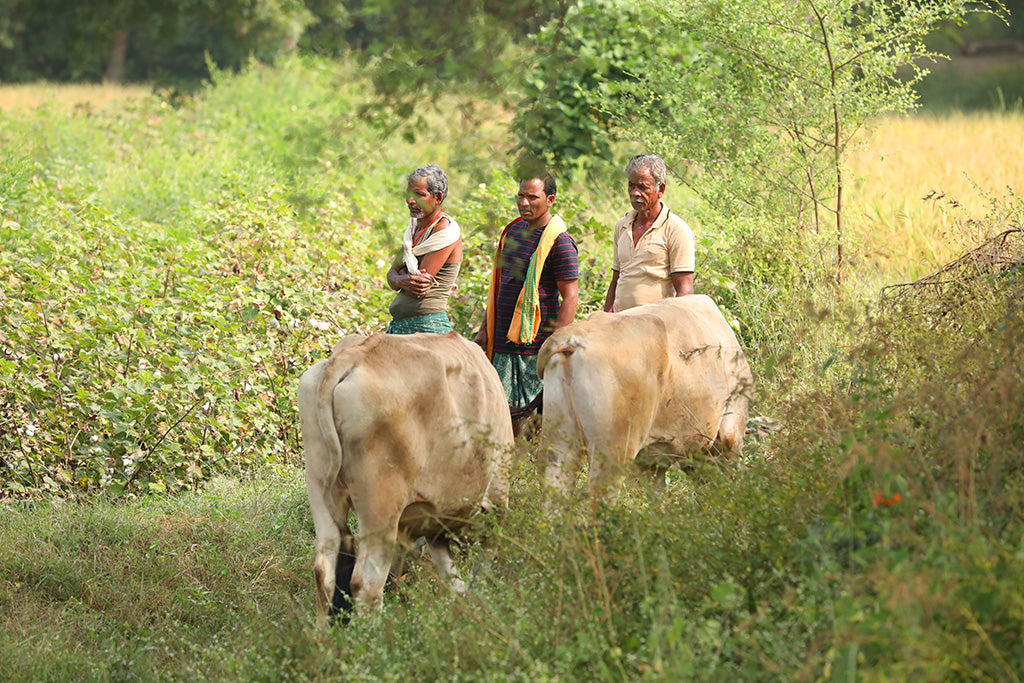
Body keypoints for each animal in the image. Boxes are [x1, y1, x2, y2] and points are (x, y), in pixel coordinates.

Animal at [296, 331, 513, 622]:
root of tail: (359, 352)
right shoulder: (498, 500)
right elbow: (481, 568)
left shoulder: (434, 522)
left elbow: (451, 576)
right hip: (381, 510)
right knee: (366, 584)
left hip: (320, 490)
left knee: (324, 571)